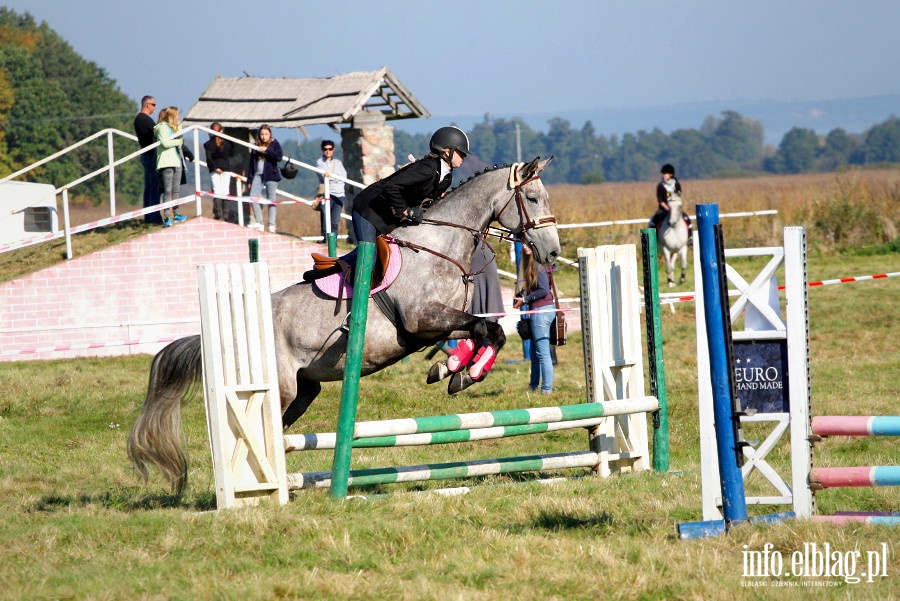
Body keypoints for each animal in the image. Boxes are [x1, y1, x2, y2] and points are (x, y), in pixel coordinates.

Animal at [129, 157, 560, 494]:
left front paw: (453, 371)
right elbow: (485, 330)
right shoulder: (422, 319)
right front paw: (460, 373)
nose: (553, 252)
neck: (440, 247)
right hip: (279, 389)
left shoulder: (438, 324)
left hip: (304, 390)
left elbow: (486, 331)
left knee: (278, 432)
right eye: (532, 198)